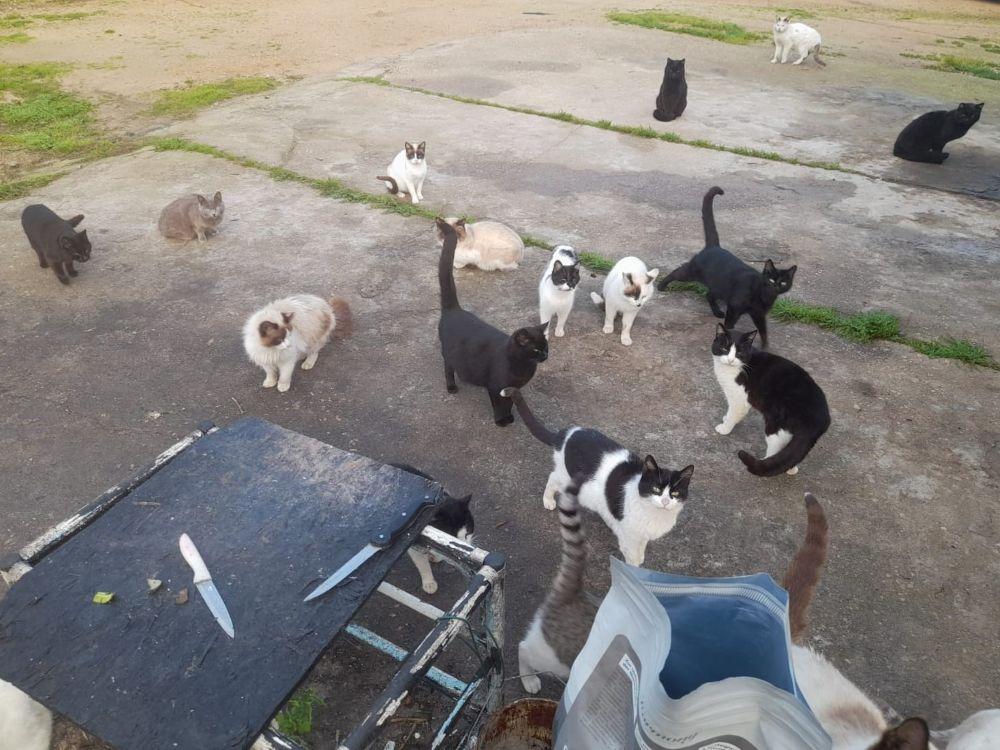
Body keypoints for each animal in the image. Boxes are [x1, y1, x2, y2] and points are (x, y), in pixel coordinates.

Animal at [388, 464, 474, 595]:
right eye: (450, 537)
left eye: (467, 532)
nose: (466, 550)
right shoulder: (413, 542)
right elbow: (422, 564)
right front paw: (429, 583)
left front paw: (435, 556)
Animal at [436, 218, 549, 426]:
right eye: (536, 350)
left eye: (546, 347)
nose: (545, 356)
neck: (522, 367)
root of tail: (455, 309)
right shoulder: (496, 387)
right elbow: (499, 405)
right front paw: (501, 421)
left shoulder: (513, 389)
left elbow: (510, 403)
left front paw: (510, 416)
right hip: (448, 353)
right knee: (448, 367)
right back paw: (452, 386)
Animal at [502, 387, 694, 566]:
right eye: (656, 489)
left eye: (675, 493)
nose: (665, 501)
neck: (655, 514)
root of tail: (566, 434)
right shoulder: (629, 537)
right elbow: (632, 561)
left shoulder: (641, 534)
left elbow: (641, 548)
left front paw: (642, 557)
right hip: (565, 476)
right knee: (552, 478)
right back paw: (548, 500)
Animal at [657, 186, 796, 348]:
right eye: (771, 280)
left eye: (783, 282)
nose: (776, 286)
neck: (764, 295)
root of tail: (714, 246)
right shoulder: (734, 308)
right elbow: (729, 326)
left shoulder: (759, 315)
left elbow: (763, 331)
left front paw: (765, 347)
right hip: (691, 273)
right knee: (676, 272)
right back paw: (661, 286)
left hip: (719, 288)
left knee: (709, 295)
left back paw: (717, 312)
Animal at [712, 325, 830, 476]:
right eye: (724, 349)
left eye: (739, 353)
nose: (730, 360)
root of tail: (820, 419)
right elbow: (729, 410)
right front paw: (725, 418)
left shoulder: (739, 399)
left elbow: (734, 413)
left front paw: (725, 427)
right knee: (789, 456)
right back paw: (791, 469)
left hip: (775, 426)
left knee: (775, 450)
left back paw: (764, 461)